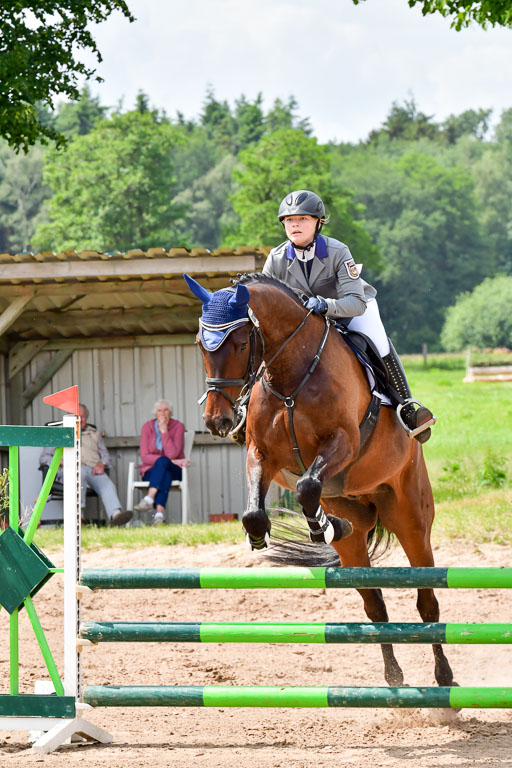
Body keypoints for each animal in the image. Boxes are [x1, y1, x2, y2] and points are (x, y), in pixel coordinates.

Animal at [184, 271, 455, 689]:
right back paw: (393, 676)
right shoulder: (261, 454)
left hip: (411, 517)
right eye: (201, 343)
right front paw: (268, 535)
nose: (218, 421)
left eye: (242, 342)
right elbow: (256, 511)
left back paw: (444, 677)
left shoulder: (343, 442)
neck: (291, 374)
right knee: (374, 603)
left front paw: (322, 528)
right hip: (355, 531)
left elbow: (307, 486)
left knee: (427, 602)